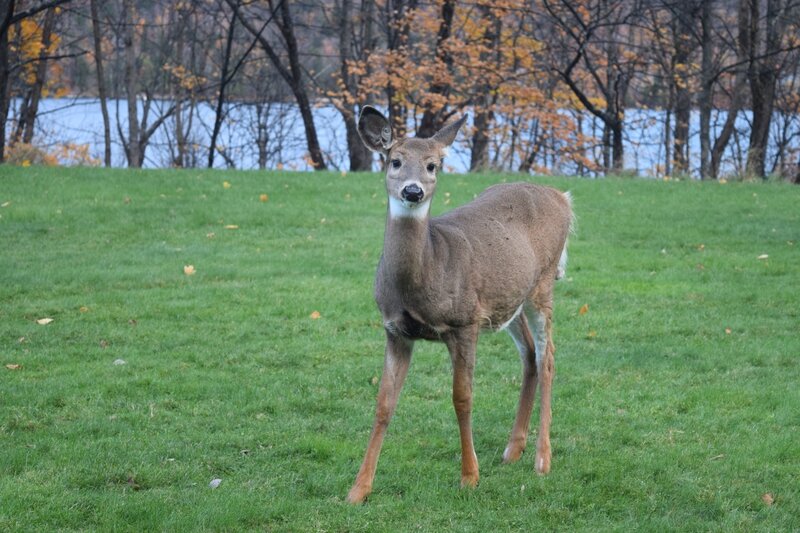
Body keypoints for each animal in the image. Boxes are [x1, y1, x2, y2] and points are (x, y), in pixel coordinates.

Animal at [346, 105, 572, 502]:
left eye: (433, 165)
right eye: (395, 161)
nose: (413, 190)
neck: (429, 270)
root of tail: (562, 197)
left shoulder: (464, 323)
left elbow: (462, 399)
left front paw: (469, 476)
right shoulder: (394, 329)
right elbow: (384, 403)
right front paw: (358, 490)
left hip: (542, 285)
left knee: (548, 358)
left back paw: (542, 459)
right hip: (507, 297)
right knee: (529, 353)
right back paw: (513, 450)